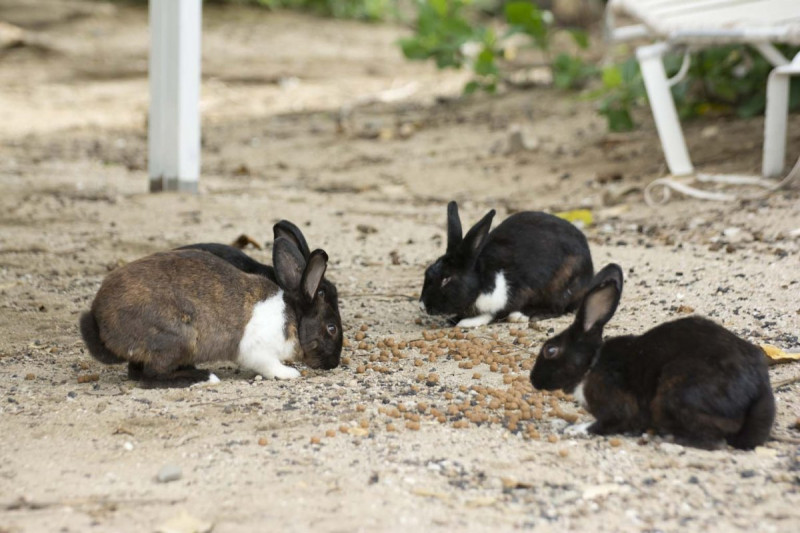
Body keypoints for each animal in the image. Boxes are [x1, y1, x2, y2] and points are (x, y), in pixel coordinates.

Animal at [79, 237, 342, 382]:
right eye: (331, 328)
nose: (334, 364)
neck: (293, 319)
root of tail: (99, 319)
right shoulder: (258, 351)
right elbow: (269, 365)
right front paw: (289, 374)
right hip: (179, 338)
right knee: (151, 375)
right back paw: (204, 378)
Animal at [418, 200, 592, 324]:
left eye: (446, 279)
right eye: (427, 272)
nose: (422, 305)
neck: (481, 281)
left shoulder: (510, 295)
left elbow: (492, 313)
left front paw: (466, 322)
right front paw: (454, 319)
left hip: (562, 284)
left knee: (558, 308)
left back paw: (525, 316)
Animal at [532, 262, 776, 448]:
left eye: (550, 350)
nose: (533, 380)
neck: (592, 363)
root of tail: (756, 394)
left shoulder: (618, 408)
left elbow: (608, 423)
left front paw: (575, 428)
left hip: (676, 394)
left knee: (712, 441)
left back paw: (667, 440)